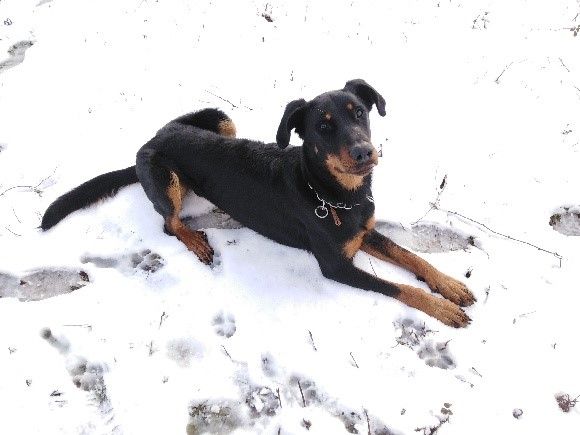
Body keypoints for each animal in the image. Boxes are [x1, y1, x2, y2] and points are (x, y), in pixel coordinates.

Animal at [42, 80, 476, 328]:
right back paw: (195, 240)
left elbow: (412, 257)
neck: (334, 195)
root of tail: (152, 138)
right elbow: (400, 288)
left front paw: (450, 286)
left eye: (360, 113)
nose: (365, 152)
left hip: (219, 118)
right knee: (170, 222)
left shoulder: (364, 232)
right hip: (165, 176)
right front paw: (442, 309)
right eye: (323, 126)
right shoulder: (335, 267)